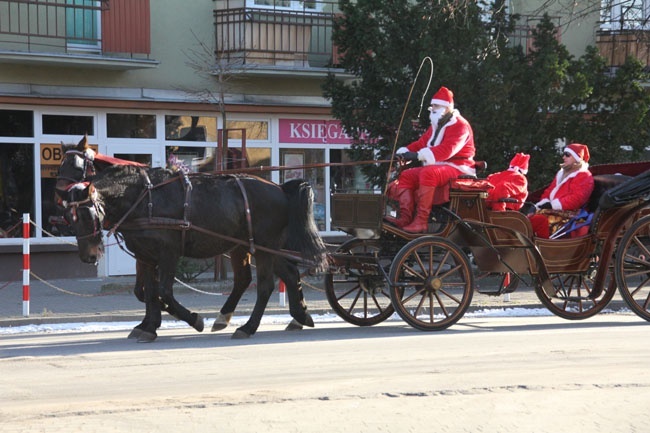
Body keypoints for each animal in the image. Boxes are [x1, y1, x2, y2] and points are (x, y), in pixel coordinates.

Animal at [58, 161, 326, 338]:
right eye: (68, 218)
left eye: (87, 214)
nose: (89, 256)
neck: (145, 199)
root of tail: (279, 188)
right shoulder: (145, 255)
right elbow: (150, 292)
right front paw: (148, 326)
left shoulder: (168, 253)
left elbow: (164, 292)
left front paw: (193, 319)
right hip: (255, 246)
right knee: (282, 275)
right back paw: (299, 315)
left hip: (264, 247)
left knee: (265, 285)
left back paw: (248, 327)